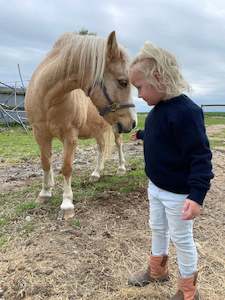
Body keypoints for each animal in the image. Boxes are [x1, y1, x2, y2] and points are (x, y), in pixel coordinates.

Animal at [25, 30, 136, 219]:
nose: (133, 122)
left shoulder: (70, 136)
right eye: (123, 82)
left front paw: (67, 204)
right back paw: (96, 173)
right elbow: (46, 162)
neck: (48, 98)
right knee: (101, 149)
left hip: (115, 128)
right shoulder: (40, 134)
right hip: (99, 129)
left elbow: (67, 167)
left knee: (118, 144)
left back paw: (121, 168)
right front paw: (45, 193)